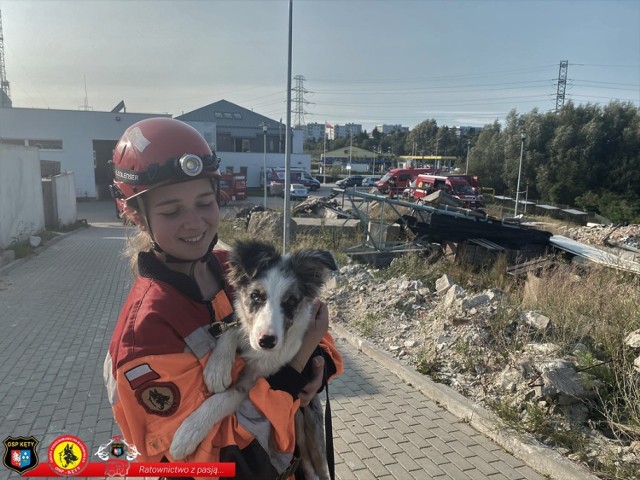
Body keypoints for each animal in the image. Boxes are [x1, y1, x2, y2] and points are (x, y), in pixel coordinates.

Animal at [170, 242, 340, 478]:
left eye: (291, 301)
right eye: (256, 296)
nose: (267, 342)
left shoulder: (253, 380)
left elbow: (223, 398)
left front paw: (188, 432)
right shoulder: (245, 329)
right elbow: (234, 326)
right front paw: (217, 368)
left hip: (313, 428)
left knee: (319, 468)